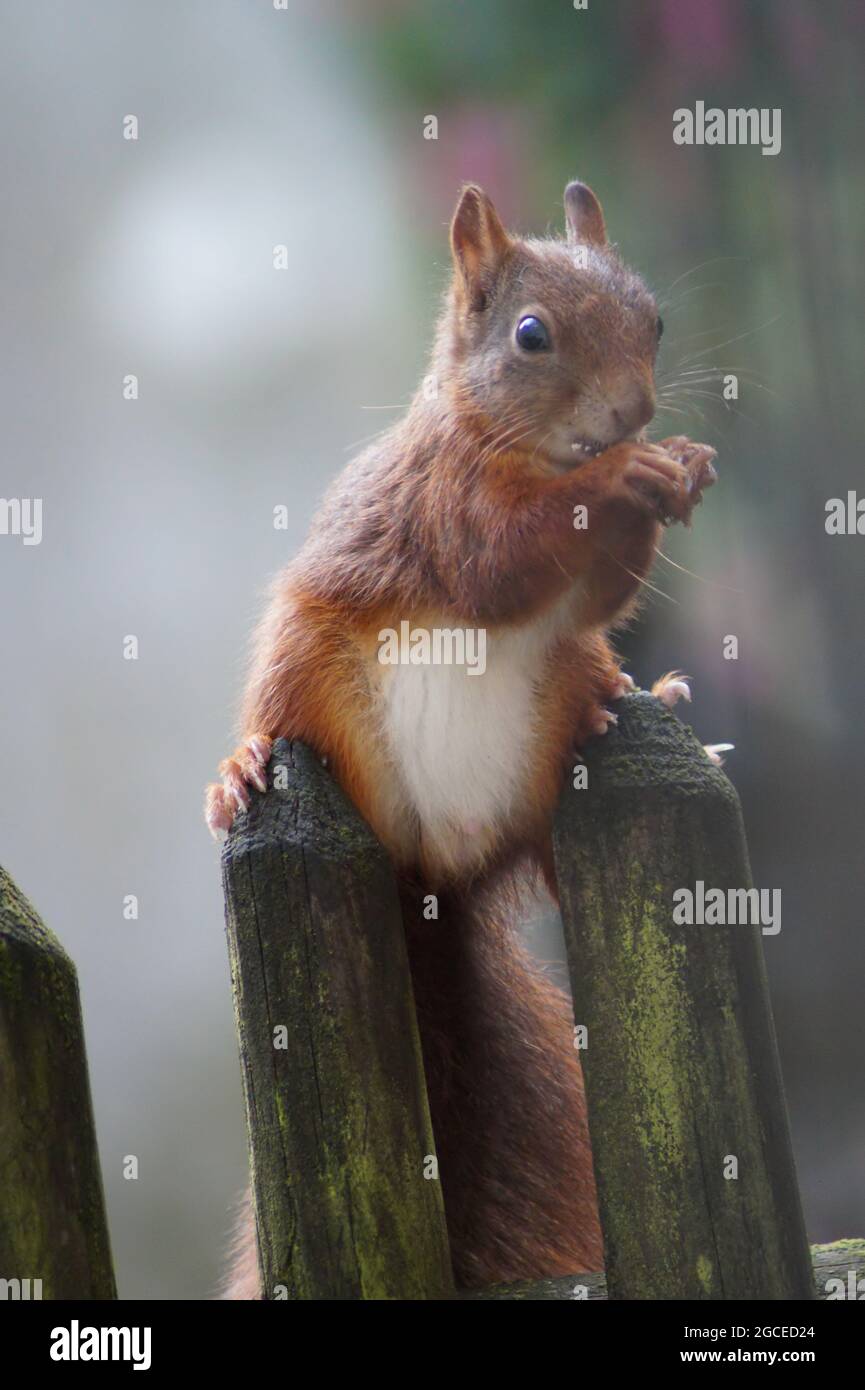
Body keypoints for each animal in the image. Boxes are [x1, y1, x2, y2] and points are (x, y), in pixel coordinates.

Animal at [204, 182, 717, 1289]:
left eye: (656, 320)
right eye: (530, 335)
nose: (633, 414)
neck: (525, 450)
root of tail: (436, 866)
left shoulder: (578, 600)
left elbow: (594, 597)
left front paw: (678, 473)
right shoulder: (447, 503)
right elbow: (499, 560)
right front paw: (625, 477)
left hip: (550, 730)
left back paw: (632, 694)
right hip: (306, 660)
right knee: (281, 714)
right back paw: (241, 770)